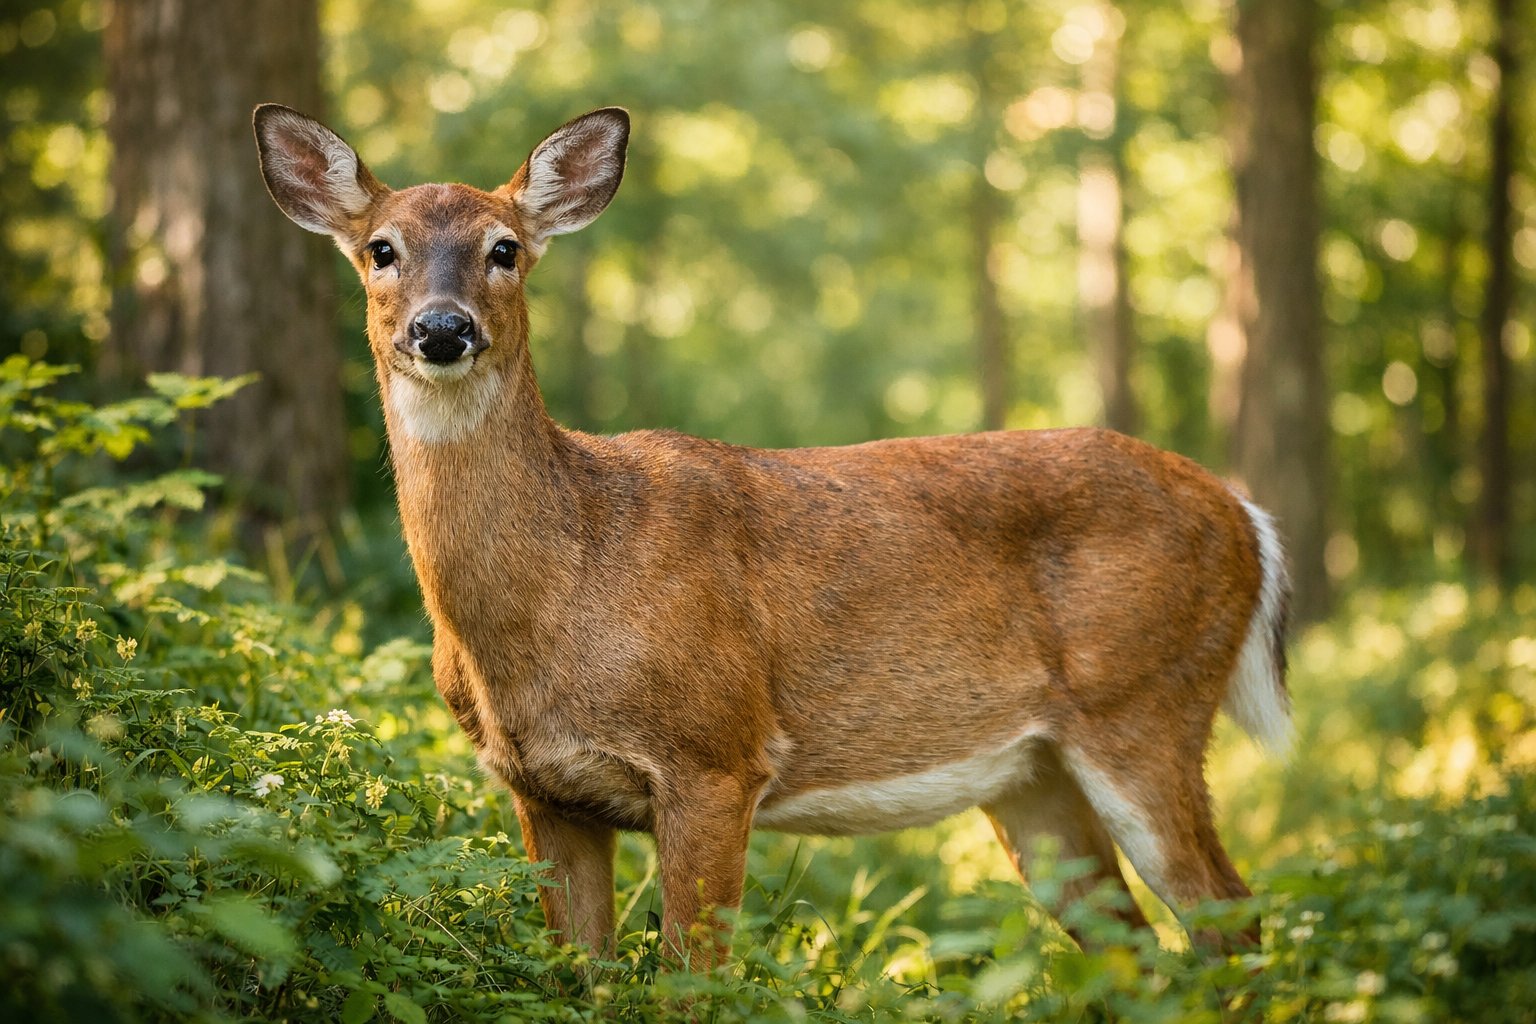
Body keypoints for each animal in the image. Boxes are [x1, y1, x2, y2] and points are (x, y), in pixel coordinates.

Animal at [254, 103, 1292, 969]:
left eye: (504, 248)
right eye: (381, 248)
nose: (442, 328)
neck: (564, 584)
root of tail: (1247, 516)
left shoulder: (717, 752)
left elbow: (689, 978)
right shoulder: (541, 790)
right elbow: (577, 977)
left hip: (1146, 702)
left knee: (1232, 924)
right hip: (1032, 775)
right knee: (1134, 951)